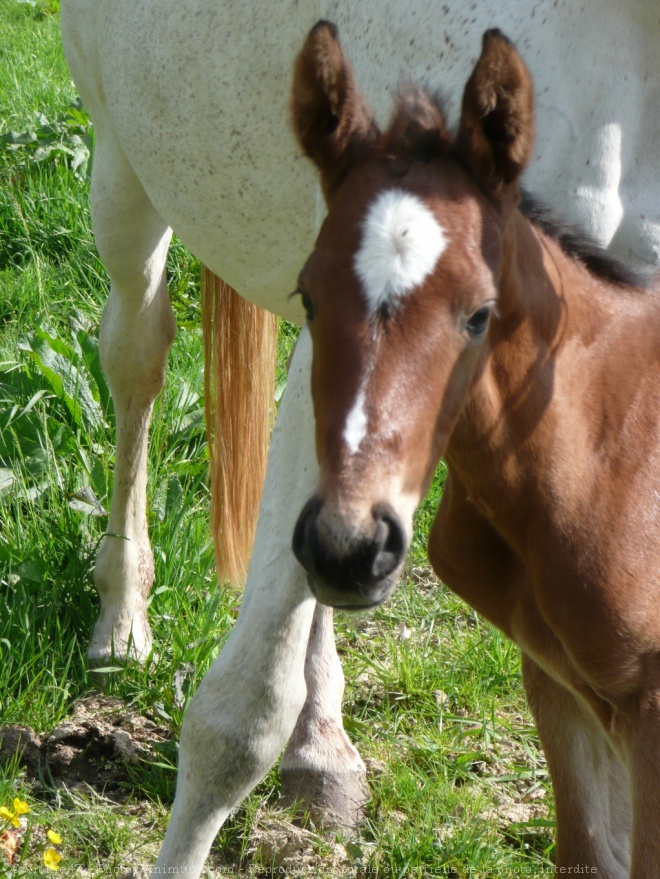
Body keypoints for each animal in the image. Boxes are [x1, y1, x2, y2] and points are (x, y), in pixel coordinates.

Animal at [62, 1, 660, 879]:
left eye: (480, 312)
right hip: (121, 168)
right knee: (135, 354)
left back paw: (321, 747)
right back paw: (122, 610)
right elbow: (241, 717)